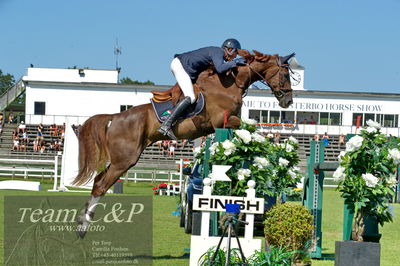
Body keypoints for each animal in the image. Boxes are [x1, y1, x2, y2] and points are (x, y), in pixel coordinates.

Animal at [74, 49, 294, 237]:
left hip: (121, 160)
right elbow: (252, 128)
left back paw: (82, 221)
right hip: (125, 160)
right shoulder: (223, 121)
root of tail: (115, 117)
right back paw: (83, 227)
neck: (230, 84)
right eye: (285, 75)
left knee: (98, 180)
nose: (288, 102)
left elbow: (250, 126)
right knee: (101, 185)